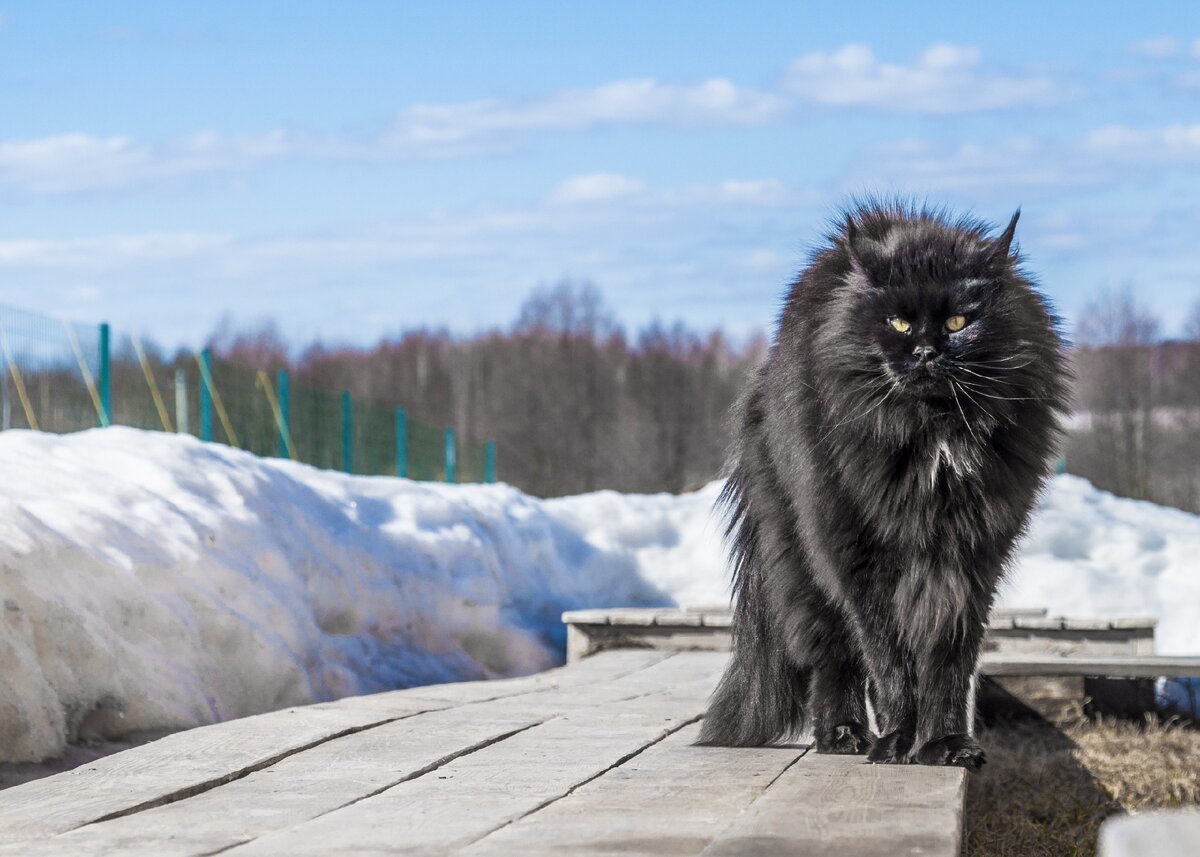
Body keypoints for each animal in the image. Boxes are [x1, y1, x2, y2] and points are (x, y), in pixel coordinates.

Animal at [700, 200, 1075, 768]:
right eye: (898, 322)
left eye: (959, 321)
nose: (924, 352)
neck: (933, 432)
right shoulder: (858, 558)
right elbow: (889, 659)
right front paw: (899, 740)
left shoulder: (970, 558)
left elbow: (948, 659)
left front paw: (945, 744)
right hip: (804, 561)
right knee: (833, 659)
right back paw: (844, 736)